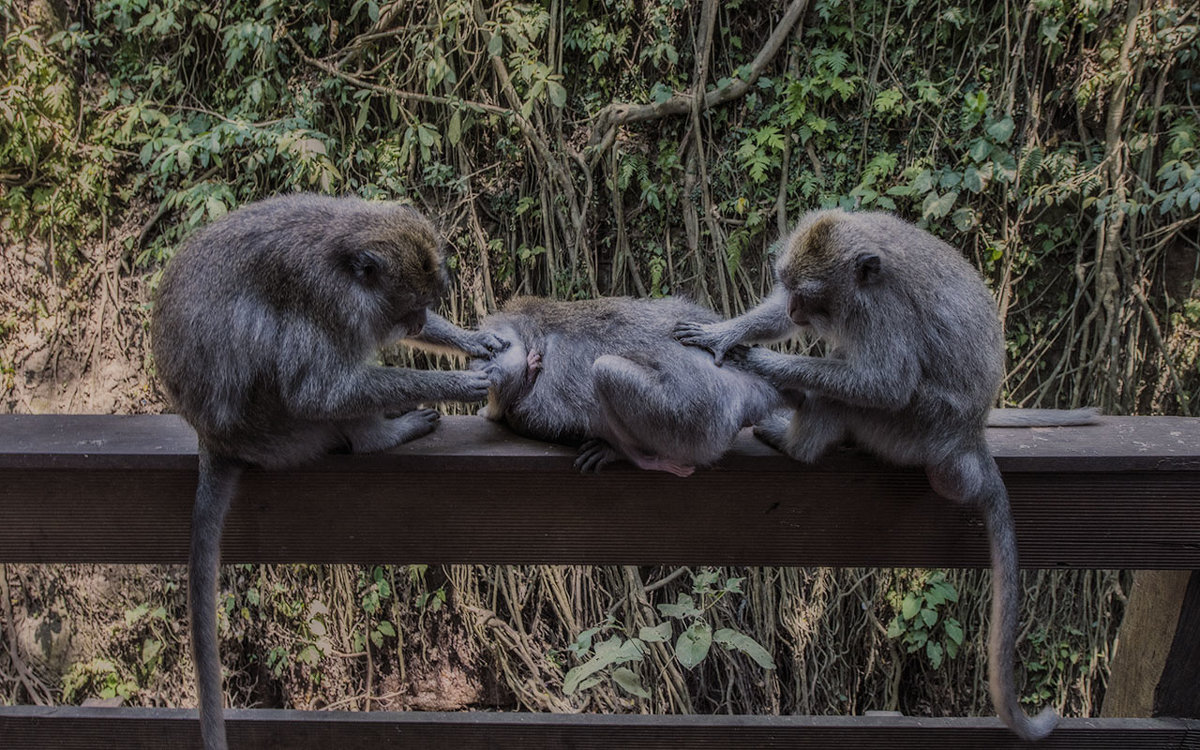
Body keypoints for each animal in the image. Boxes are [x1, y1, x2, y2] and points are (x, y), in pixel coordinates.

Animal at [151, 194, 506, 748]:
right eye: (407, 305)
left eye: (425, 304)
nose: (416, 321)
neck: (346, 249)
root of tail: (212, 438)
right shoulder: (329, 305)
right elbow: (317, 392)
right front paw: (454, 383)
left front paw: (471, 340)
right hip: (277, 430)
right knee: (303, 386)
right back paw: (379, 436)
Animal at [676, 207, 1060, 739]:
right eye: (788, 287)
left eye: (809, 295)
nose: (795, 309)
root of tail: (970, 436)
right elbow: (774, 320)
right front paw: (728, 335)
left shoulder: (883, 312)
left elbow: (887, 383)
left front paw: (760, 359)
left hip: (920, 426)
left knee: (869, 390)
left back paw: (797, 442)